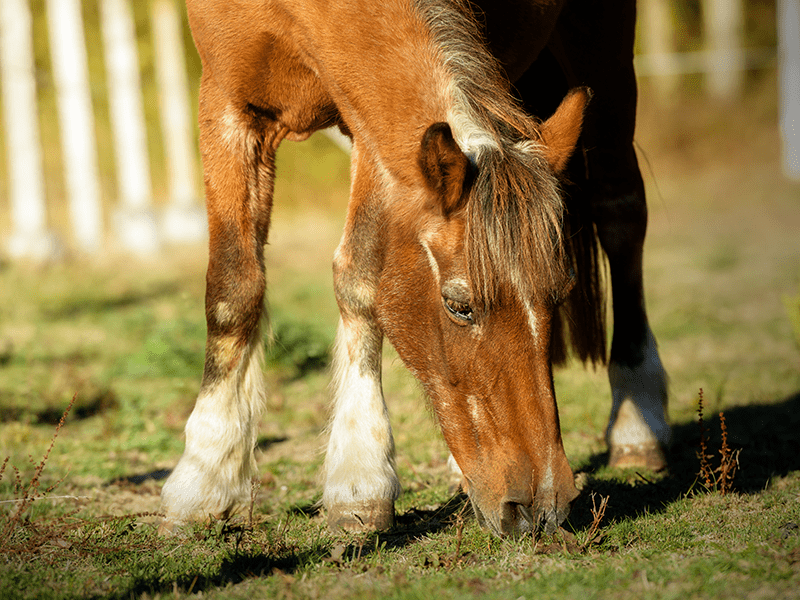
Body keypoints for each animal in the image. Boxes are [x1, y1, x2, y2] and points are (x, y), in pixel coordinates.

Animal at [160, 0, 670, 537]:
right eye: (459, 305)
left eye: (560, 292)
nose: (543, 507)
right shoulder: (229, 104)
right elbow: (233, 289)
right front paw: (203, 478)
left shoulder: (371, 131)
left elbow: (359, 280)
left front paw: (359, 481)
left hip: (603, 47)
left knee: (621, 212)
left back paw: (638, 424)